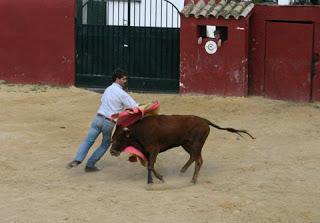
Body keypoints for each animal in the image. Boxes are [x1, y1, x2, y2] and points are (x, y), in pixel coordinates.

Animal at [110, 114, 255, 184]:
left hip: (197, 144)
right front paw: (158, 178)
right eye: (112, 138)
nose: (112, 151)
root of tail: (205, 121)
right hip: (186, 144)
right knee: (193, 157)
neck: (138, 132)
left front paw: (153, 181)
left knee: (198, 160)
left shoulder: (154, 149)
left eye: (119, 138)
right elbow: (150, 166)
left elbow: (150, 165)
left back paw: (193, 180)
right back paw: (182, 171)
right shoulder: (147, 151)